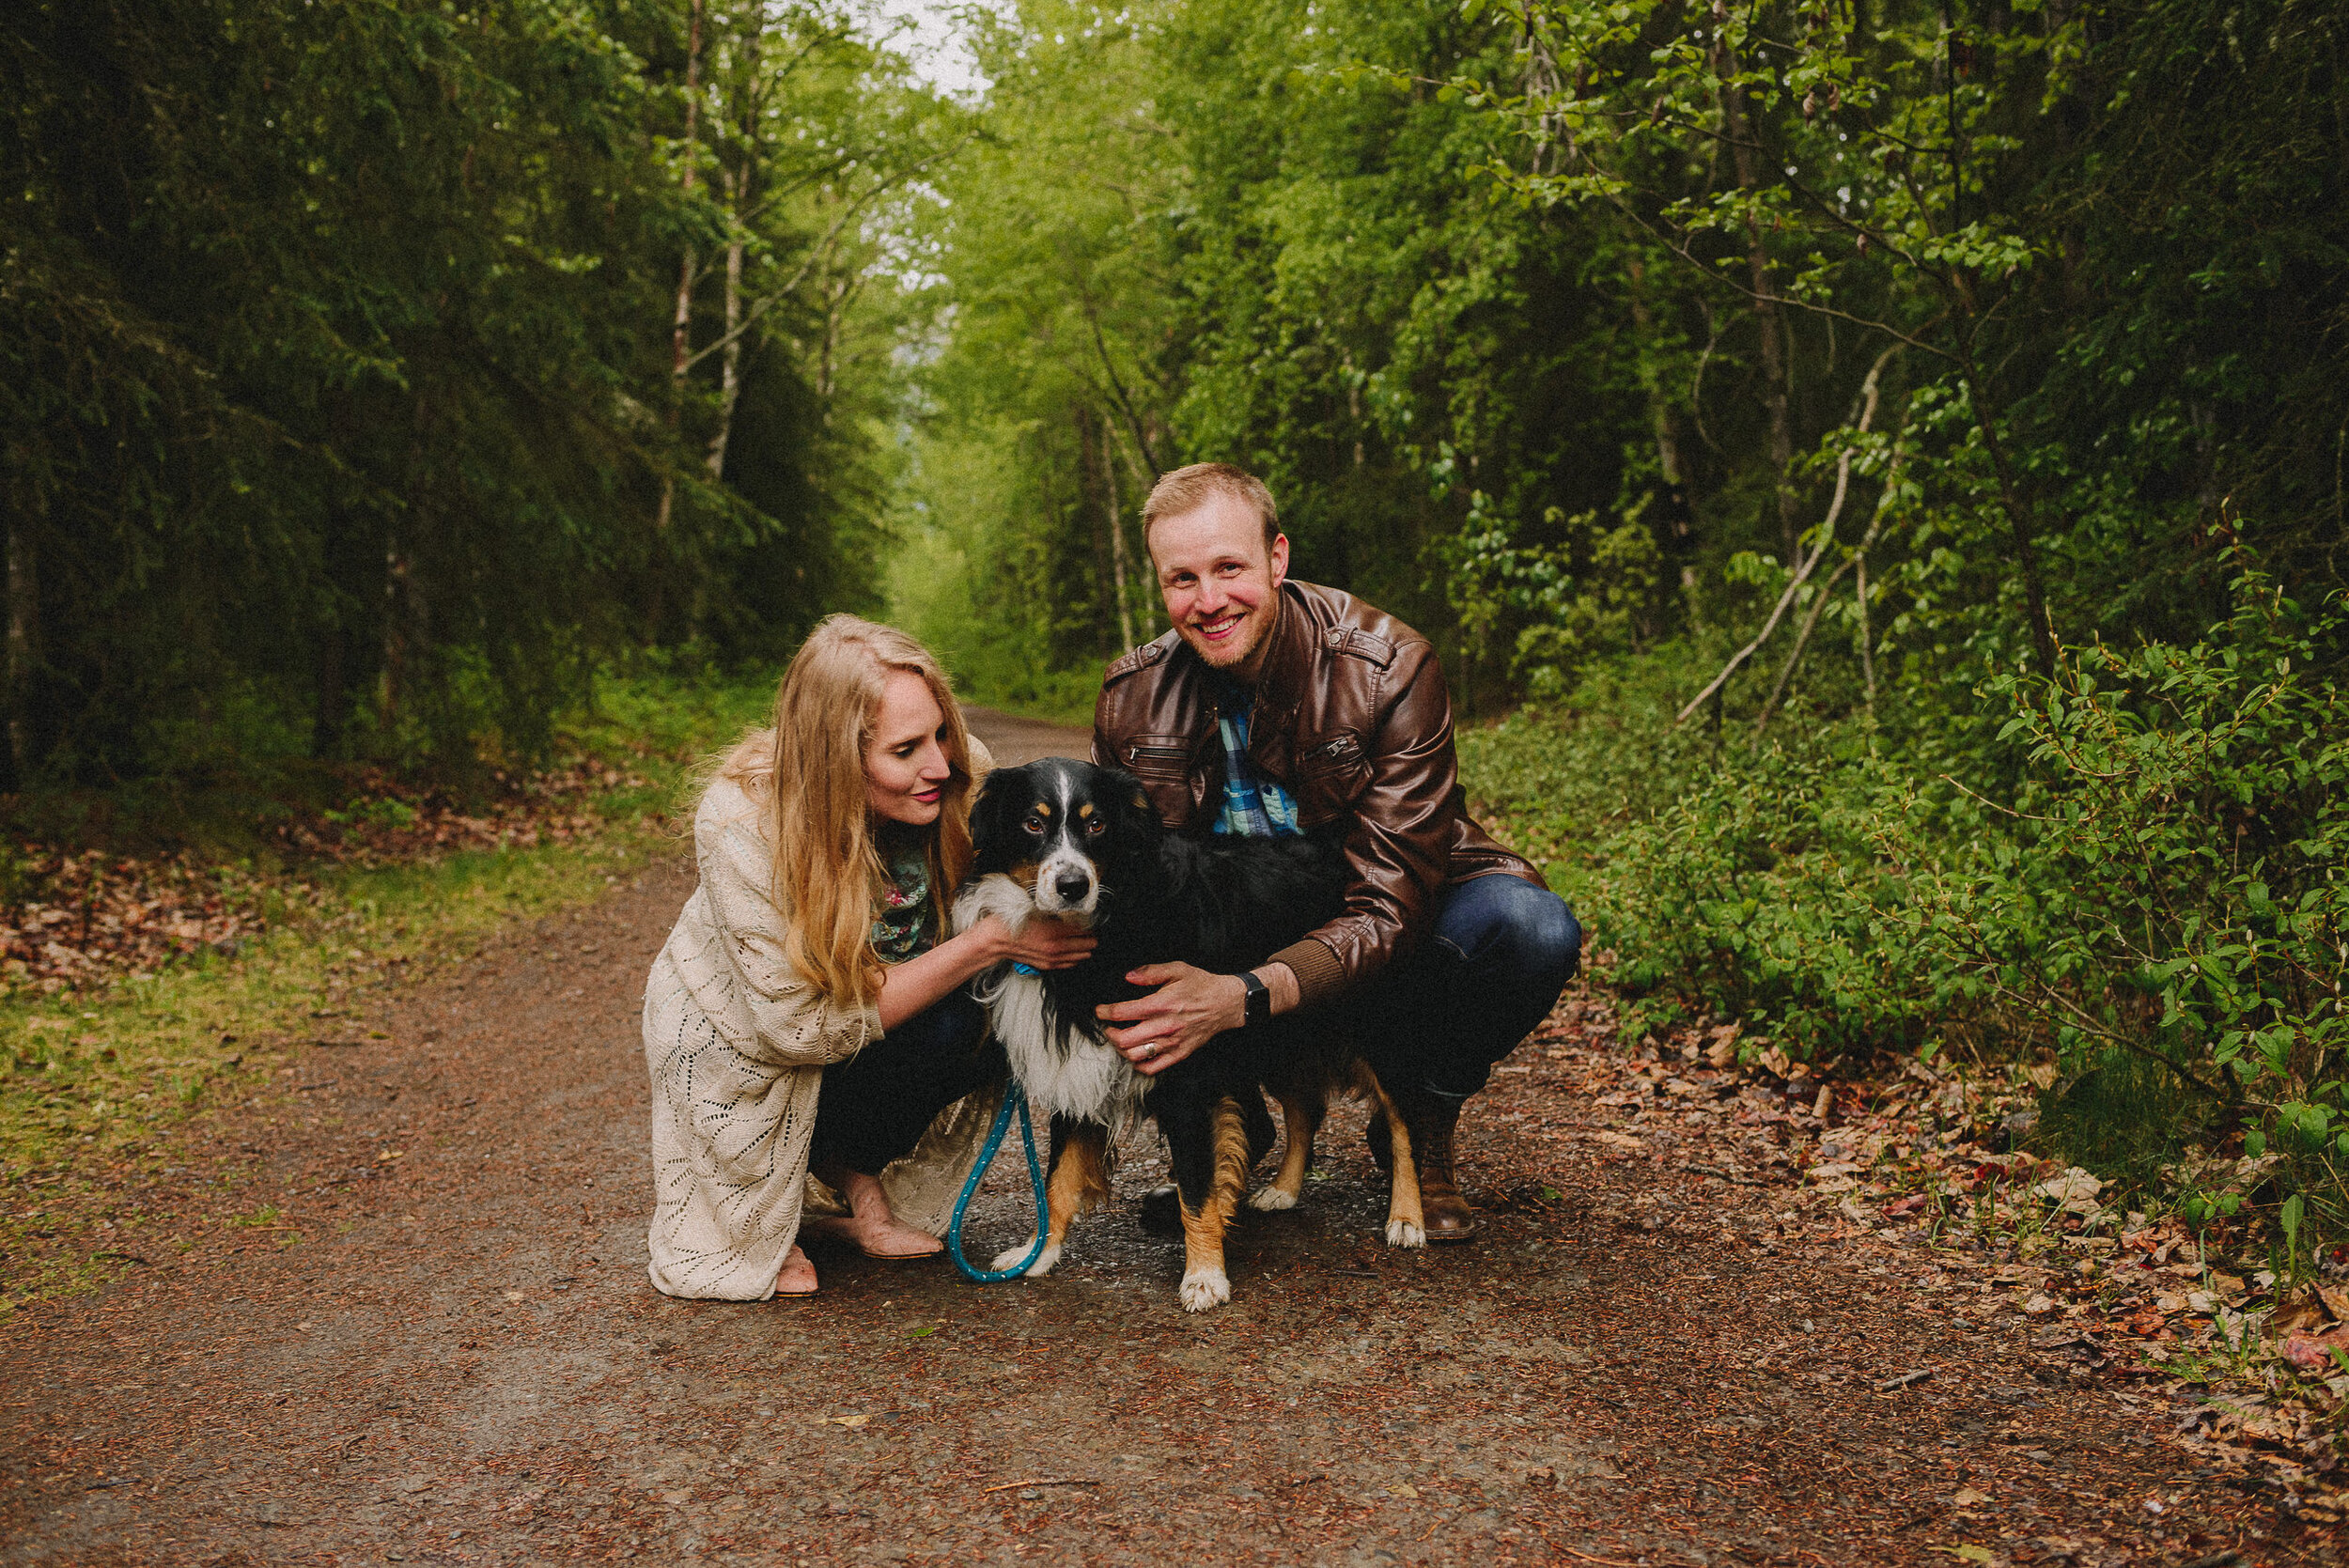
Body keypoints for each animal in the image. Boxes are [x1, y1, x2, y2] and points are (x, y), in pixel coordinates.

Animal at [949, 760, 1428, 1314]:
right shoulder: (1077, 1066)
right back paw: (1284, 1190)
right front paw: (1037, 1253)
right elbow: (1058, 1178)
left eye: (1097, 825)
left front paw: (1204, 1276)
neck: (1107, 923)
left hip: (1371, 1030)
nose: (1072, 885)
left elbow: (1197, 1190)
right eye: (1032, 823)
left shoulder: (1182, 1069)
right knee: (1306, 1106)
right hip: (1275, 1028)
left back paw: (1408, 1217)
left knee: (1402, 1121)